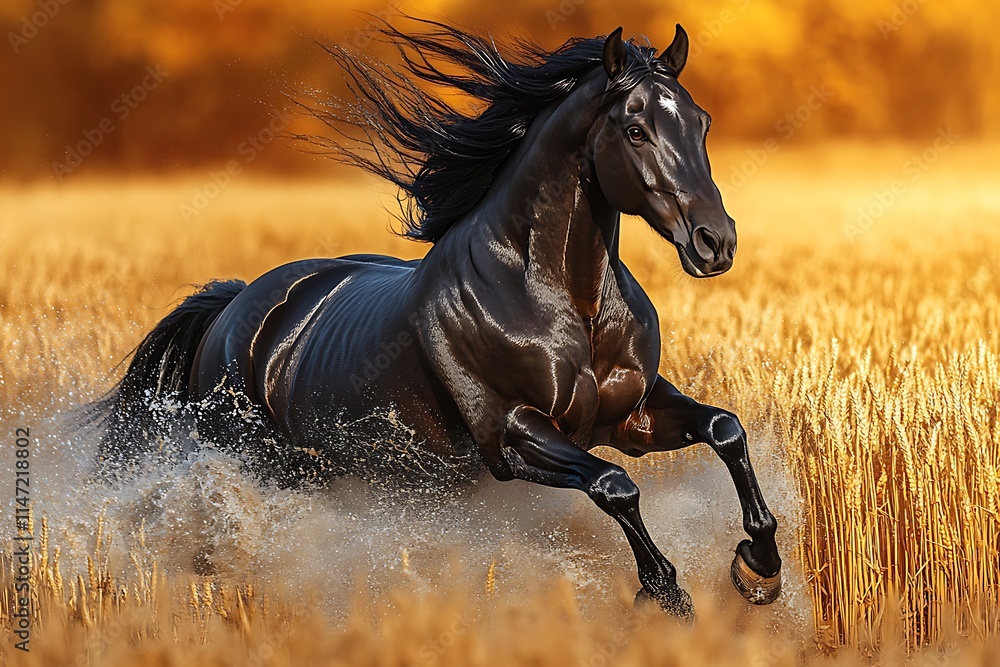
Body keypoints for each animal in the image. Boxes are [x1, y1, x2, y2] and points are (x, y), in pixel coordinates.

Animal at [96, 20, 782, 616]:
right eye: (636, 129)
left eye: (701, 121)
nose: (715, 243)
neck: (565, 305)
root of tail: (234, 307)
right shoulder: (511, 434)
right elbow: (615, 485)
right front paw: (665, 591)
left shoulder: (632, 414)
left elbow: (724, 428)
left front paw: (760, 566)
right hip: (266, 465)